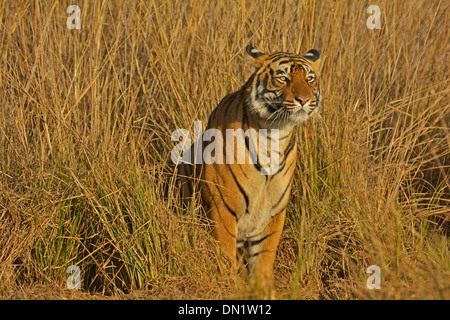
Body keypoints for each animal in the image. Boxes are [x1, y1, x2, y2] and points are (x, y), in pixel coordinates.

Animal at [171, 45, 322, 296]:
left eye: (310, 79)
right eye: (283, 78)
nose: (304, 99)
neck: (275, 133)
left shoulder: (273, 213)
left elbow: (264, 259)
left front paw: (263, 291)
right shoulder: (223, 209)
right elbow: (225, 256)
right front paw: (230, 287)